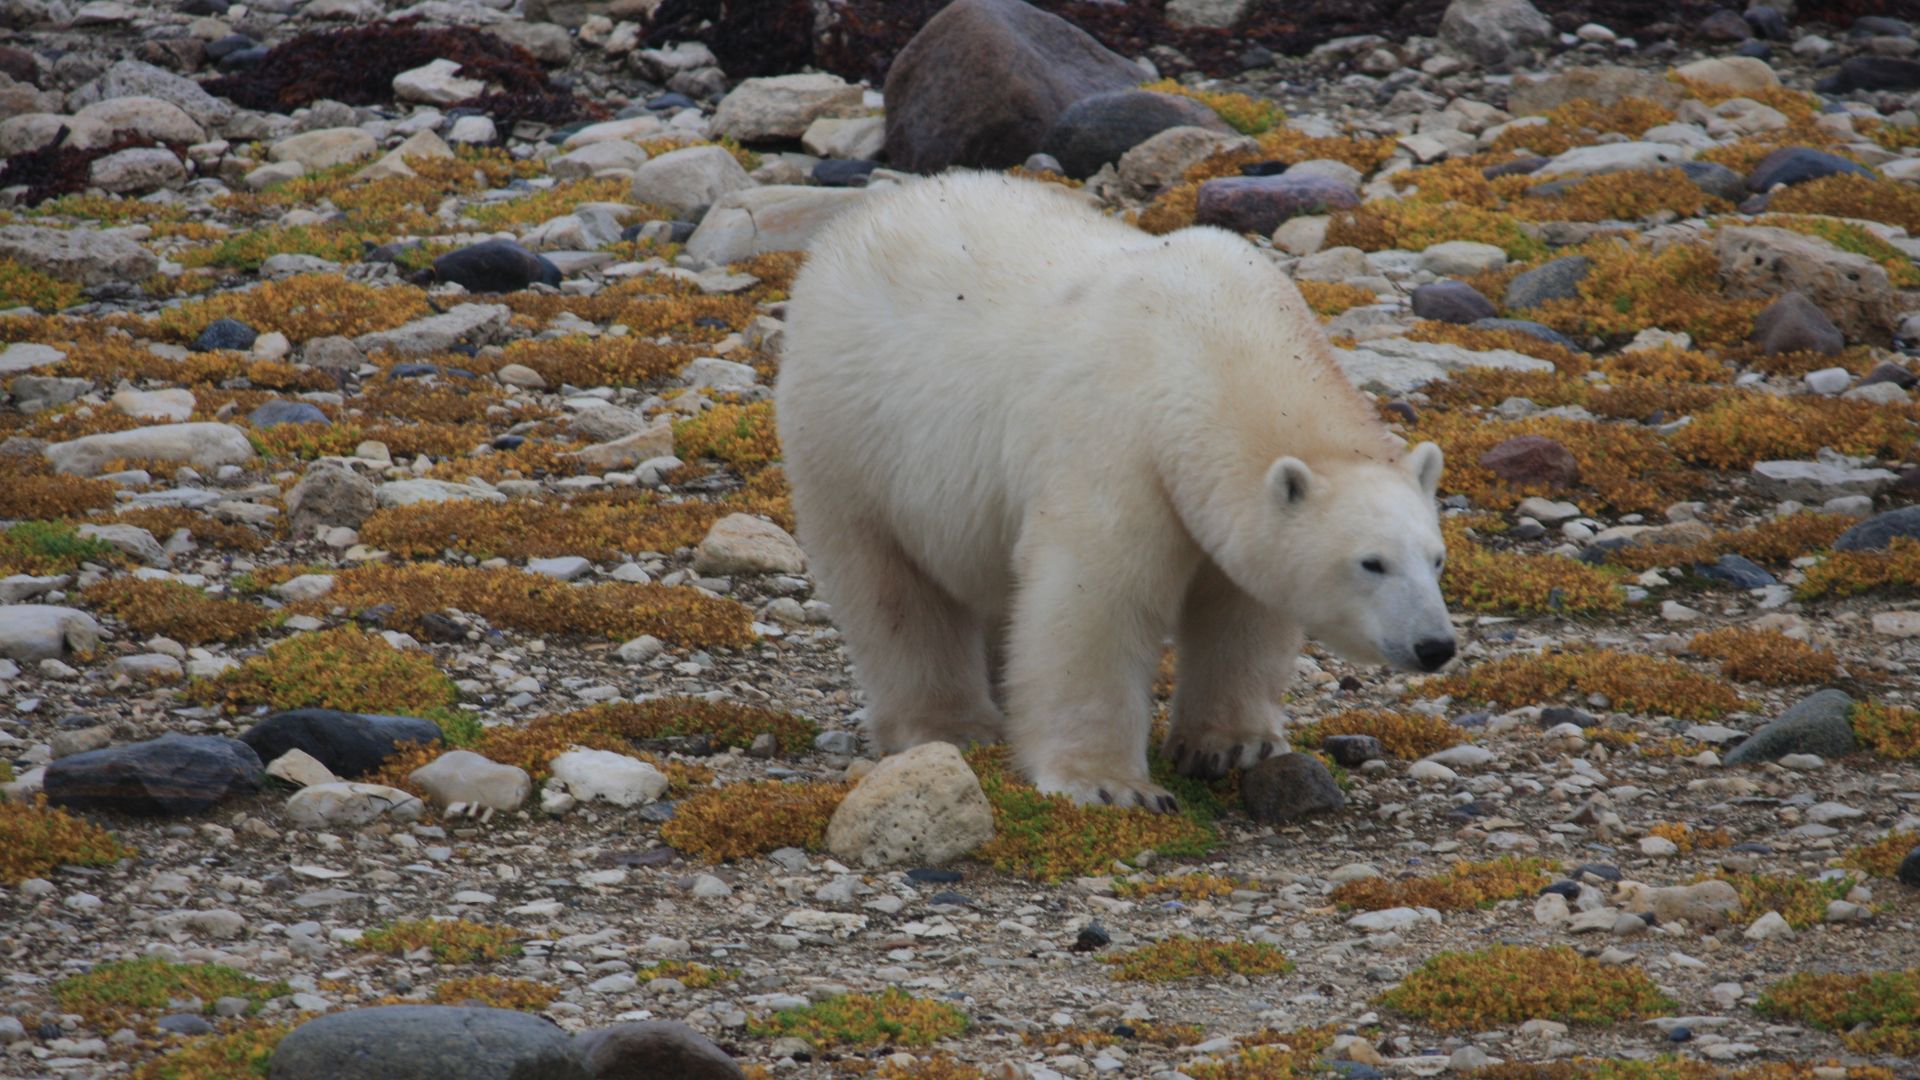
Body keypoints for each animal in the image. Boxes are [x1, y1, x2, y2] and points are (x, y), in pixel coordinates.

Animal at [775, 171, 1456, 811]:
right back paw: (953, 723)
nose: (1435, 645)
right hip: (851, 436)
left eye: (1438, 559)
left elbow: (1240, 611)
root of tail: (860, 219)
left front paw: (1231, 745)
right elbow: (1097, 600)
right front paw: (1112, 785)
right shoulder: (1117, 441)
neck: (1213, 342)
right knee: (892, 590)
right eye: (1371, 562)